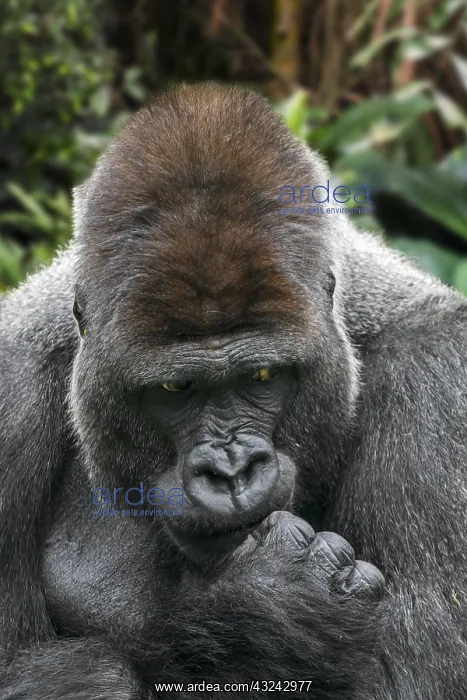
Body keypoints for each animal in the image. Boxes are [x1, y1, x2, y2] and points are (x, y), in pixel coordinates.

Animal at [0, 83, 466, 700]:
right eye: (176, 386)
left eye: (262, 377)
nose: (231, 471)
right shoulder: (9, 390)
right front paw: (266, 611)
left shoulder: (438, 380)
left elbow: (409, 679)